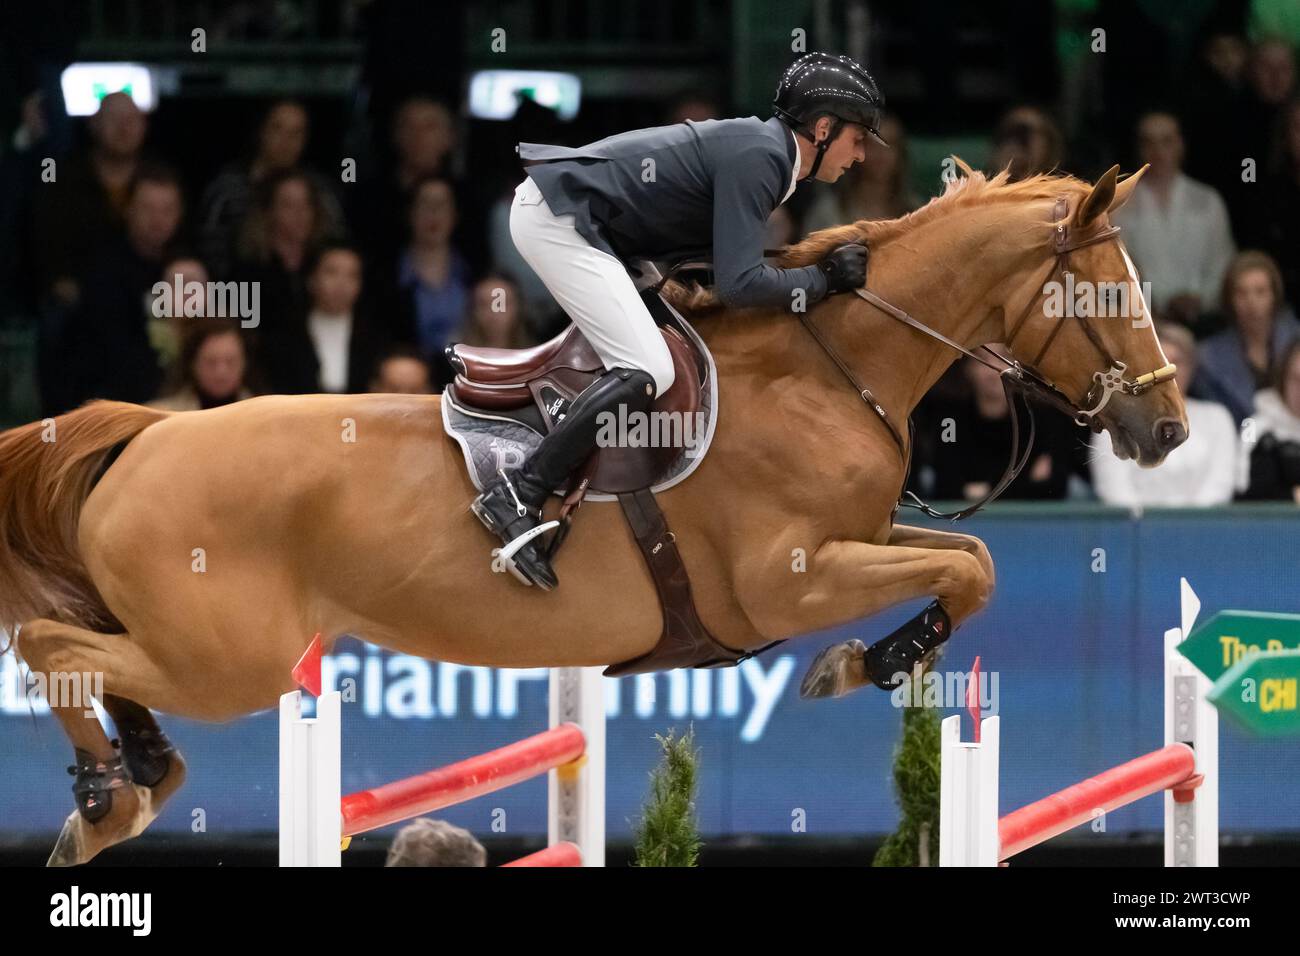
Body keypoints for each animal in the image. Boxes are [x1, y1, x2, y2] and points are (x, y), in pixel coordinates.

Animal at [0, 158, 1185, 868]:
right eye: (1107, 295)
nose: (1167, 429)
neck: (826, 370)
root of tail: (144, 434)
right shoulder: (787, 580)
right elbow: (965, 570)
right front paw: (856, 664)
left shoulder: (862, 538)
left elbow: (970, 556)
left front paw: (873, 660)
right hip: (229, 657)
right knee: (53, 644)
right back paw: (110, 796)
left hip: (197, 643)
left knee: (91, 658)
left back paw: (137, 782)